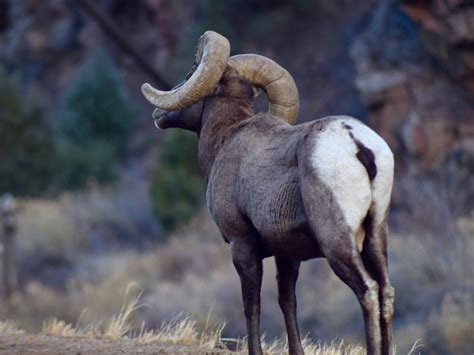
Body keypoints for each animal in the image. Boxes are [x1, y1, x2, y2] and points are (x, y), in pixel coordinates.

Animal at [143, 32, 394, 354]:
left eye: (190, 73)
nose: (158, 114)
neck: (226, 138)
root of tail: (356, 143)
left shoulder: (243, 246)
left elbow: (252, 305)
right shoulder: (287, 254)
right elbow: (288, 303)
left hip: (337, 243)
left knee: (368, 290)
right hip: (375, 236)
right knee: (386, 291)